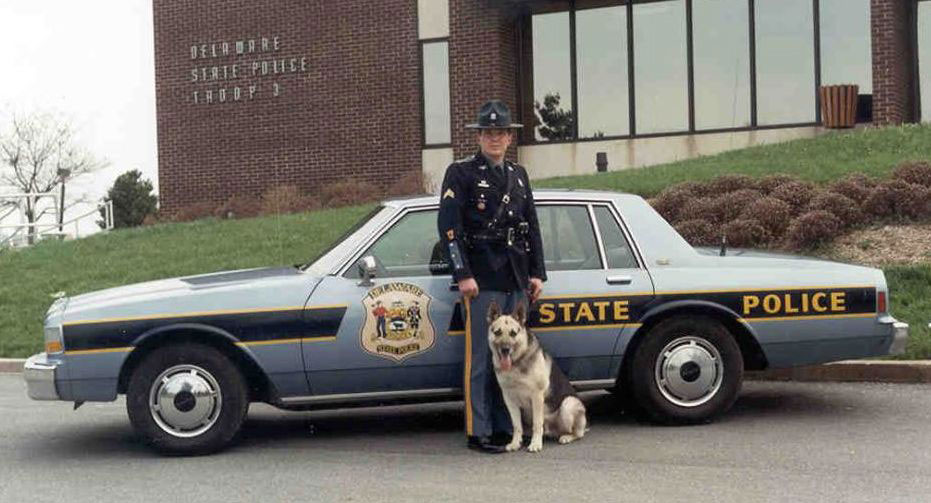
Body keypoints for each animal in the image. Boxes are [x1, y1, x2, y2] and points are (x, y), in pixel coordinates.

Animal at [492, 300, 588, 452]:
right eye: (497, 332)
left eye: (513, 333)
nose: (505, 349)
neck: (517, 362)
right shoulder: (509, 398)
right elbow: (516, 425)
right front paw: (515, 443)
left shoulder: (536, 396)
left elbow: (537, 424)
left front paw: (535, 444)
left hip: (568, 405)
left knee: (577, 433)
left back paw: (566, 437)